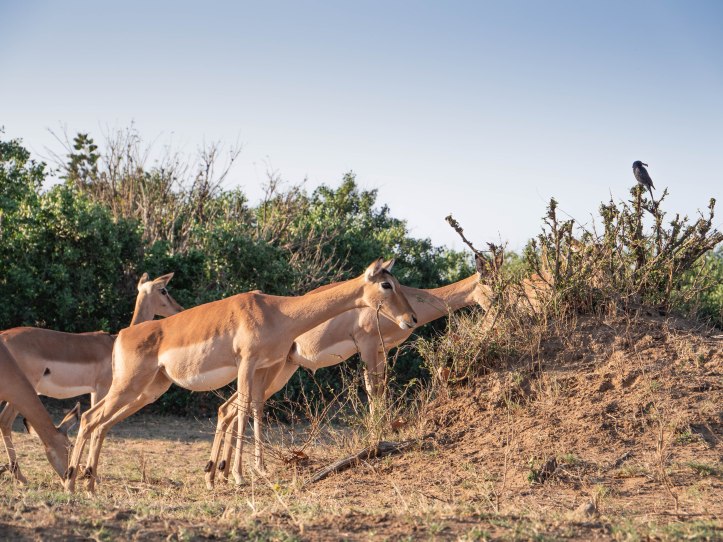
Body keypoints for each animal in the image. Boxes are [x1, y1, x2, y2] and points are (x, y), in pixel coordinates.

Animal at [64, 259, 417, 493]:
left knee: (99, 422)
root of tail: (123, 334)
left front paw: (237, 473)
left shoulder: (260, 367)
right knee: (91, 418)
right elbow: (245, 409)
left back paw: (87, 484)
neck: (278, 311)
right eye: (387, 284)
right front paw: (238, 475)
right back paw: (72, 482)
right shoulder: (248, 364)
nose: (411, 318)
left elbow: (252, 409)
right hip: (128, 387)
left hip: (146, 391)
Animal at [205, 254, 495, 488]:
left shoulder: (382, 351)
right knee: (241, 406)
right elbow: (373, 390)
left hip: (280, 369)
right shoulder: (367, 346)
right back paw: (229, 473)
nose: (496, 308)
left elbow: (380, 390)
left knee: (231, 408)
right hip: (271, 370)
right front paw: (377, 438)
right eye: (488, 282)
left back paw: (221, 474)